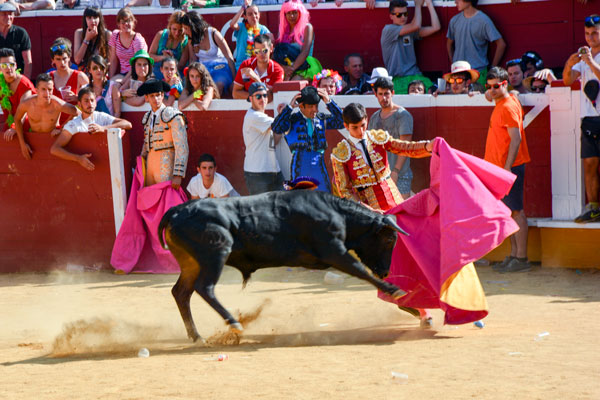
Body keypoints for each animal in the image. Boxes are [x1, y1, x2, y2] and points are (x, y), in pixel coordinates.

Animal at [157, 189, 408, 342]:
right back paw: (234, 323)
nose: (385, 271)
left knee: (181, 292)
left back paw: (196, 336)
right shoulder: (334, 251)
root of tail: (176, 211)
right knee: (204, 288)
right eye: (389, 239)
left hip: (191, 264)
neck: (337, 213)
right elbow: (360, 271)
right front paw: (395, 290)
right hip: (216, 253)